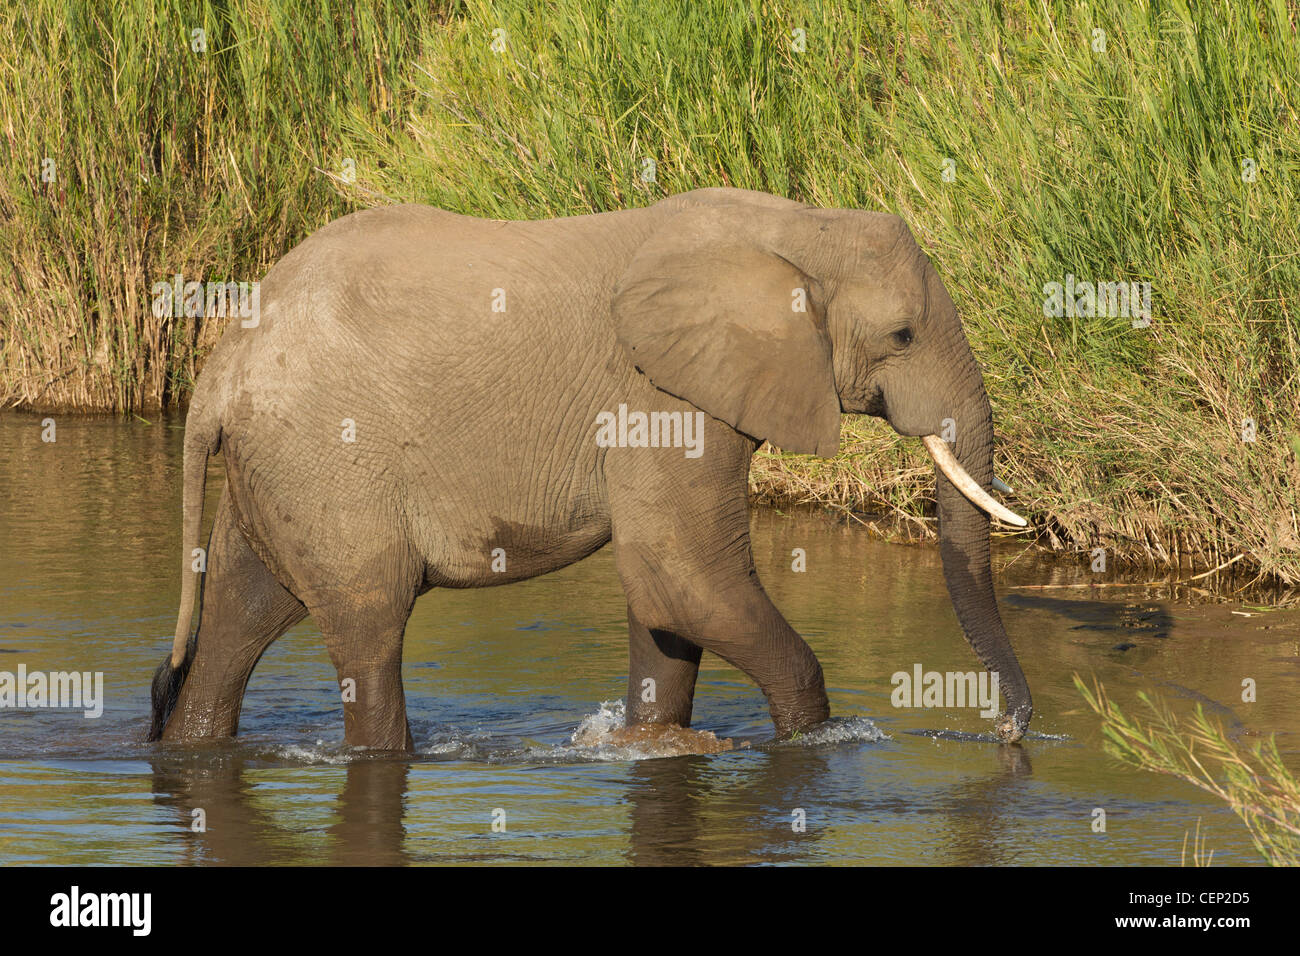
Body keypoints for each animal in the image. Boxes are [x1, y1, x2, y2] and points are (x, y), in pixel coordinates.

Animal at [149, 187, 1032, 751]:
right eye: (904, 335)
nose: (1010, 731)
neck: (794, 225)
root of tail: (218, 369)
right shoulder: (660, 396)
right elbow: (685, 578)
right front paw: (817, 742)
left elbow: (665, 605)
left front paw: (647, 741)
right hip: (328, 461)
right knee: (368, 633)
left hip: (279, 471)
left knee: (237, 617)